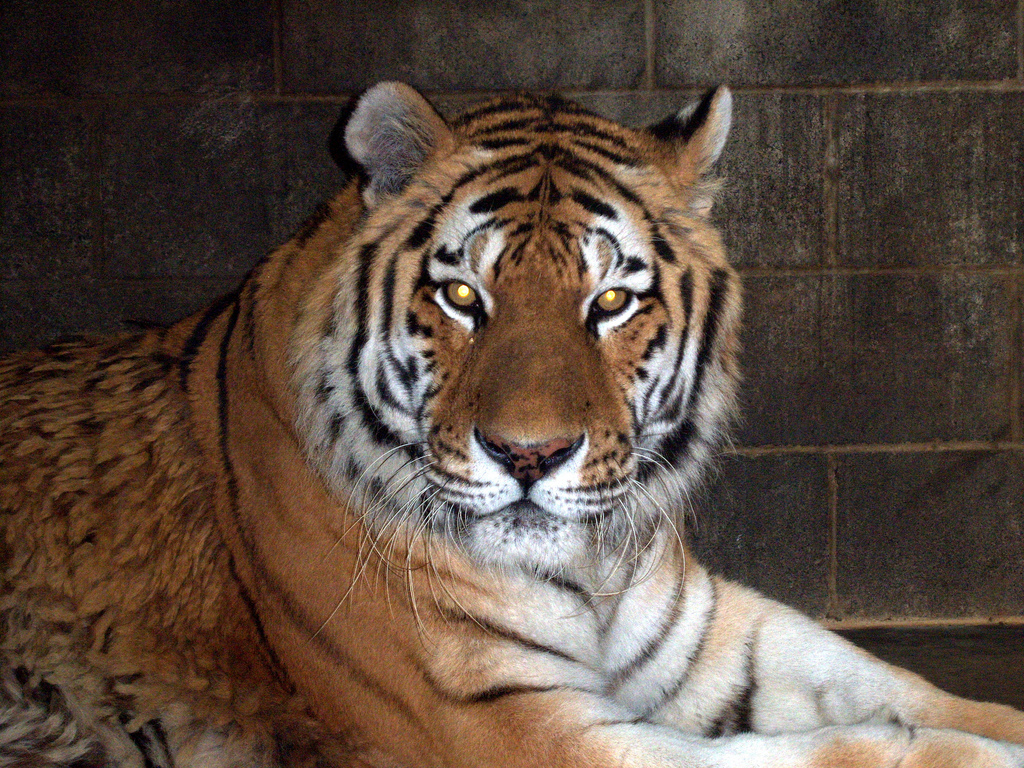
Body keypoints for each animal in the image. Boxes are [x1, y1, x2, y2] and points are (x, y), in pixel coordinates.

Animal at [2, 80, 1024, 768]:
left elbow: (899, 687)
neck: (592, 573)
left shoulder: (702, 636)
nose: (530, 456)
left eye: (610, 302)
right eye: (463, 296)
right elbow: (863, 746)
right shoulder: (505, 722)